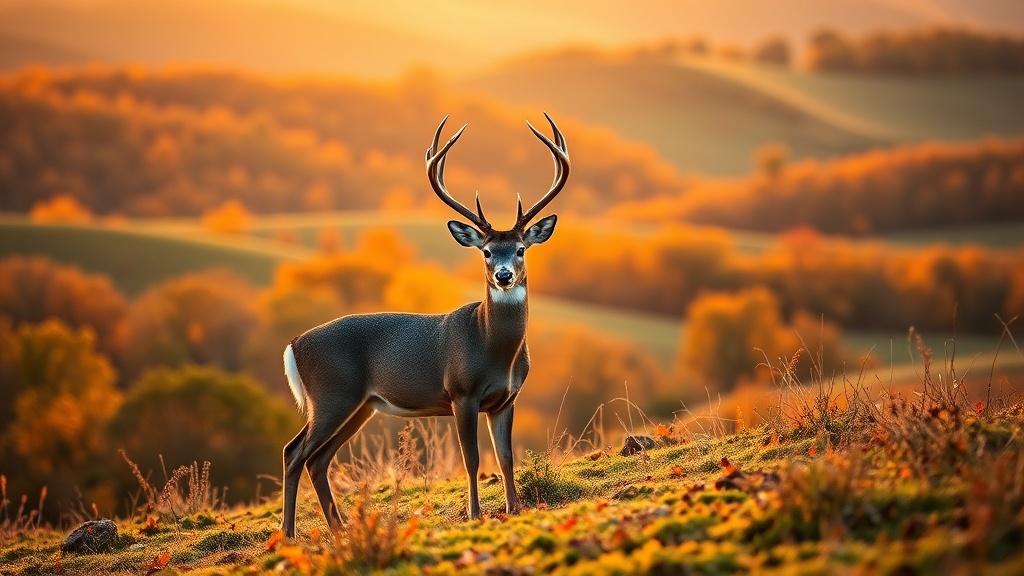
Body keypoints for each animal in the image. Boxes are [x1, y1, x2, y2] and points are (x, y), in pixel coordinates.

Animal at [280, 113, 570, 538]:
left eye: (520, 249)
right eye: (486, 251)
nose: (503, 275)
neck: (494, 349)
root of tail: (294, 344)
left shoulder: (507, 399)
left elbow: (506, 457)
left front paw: (514, 508)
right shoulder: (461, 392)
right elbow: (472, 459)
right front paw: (475, 514)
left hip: (360, 405)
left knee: (317, 457)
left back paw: (340, 530)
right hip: (332, 394)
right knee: (294, 452)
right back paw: (289, 534)